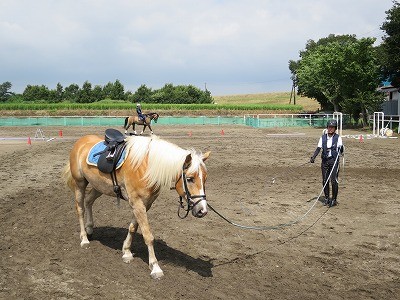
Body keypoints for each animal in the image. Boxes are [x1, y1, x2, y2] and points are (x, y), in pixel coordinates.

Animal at [62, 133, 209, 278]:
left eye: (205, 179)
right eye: (190, 179)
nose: (202, 210)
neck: (147, 167)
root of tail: (81, 141)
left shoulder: (145, 204)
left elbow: (133, 227)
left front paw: (126, 252)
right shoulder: (137, 203)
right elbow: (148, 235)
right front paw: (155, 267)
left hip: (99, 186)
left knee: (88, 201)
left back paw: (90, 229)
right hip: (80, 183)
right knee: (80, 208)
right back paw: (84, 239)